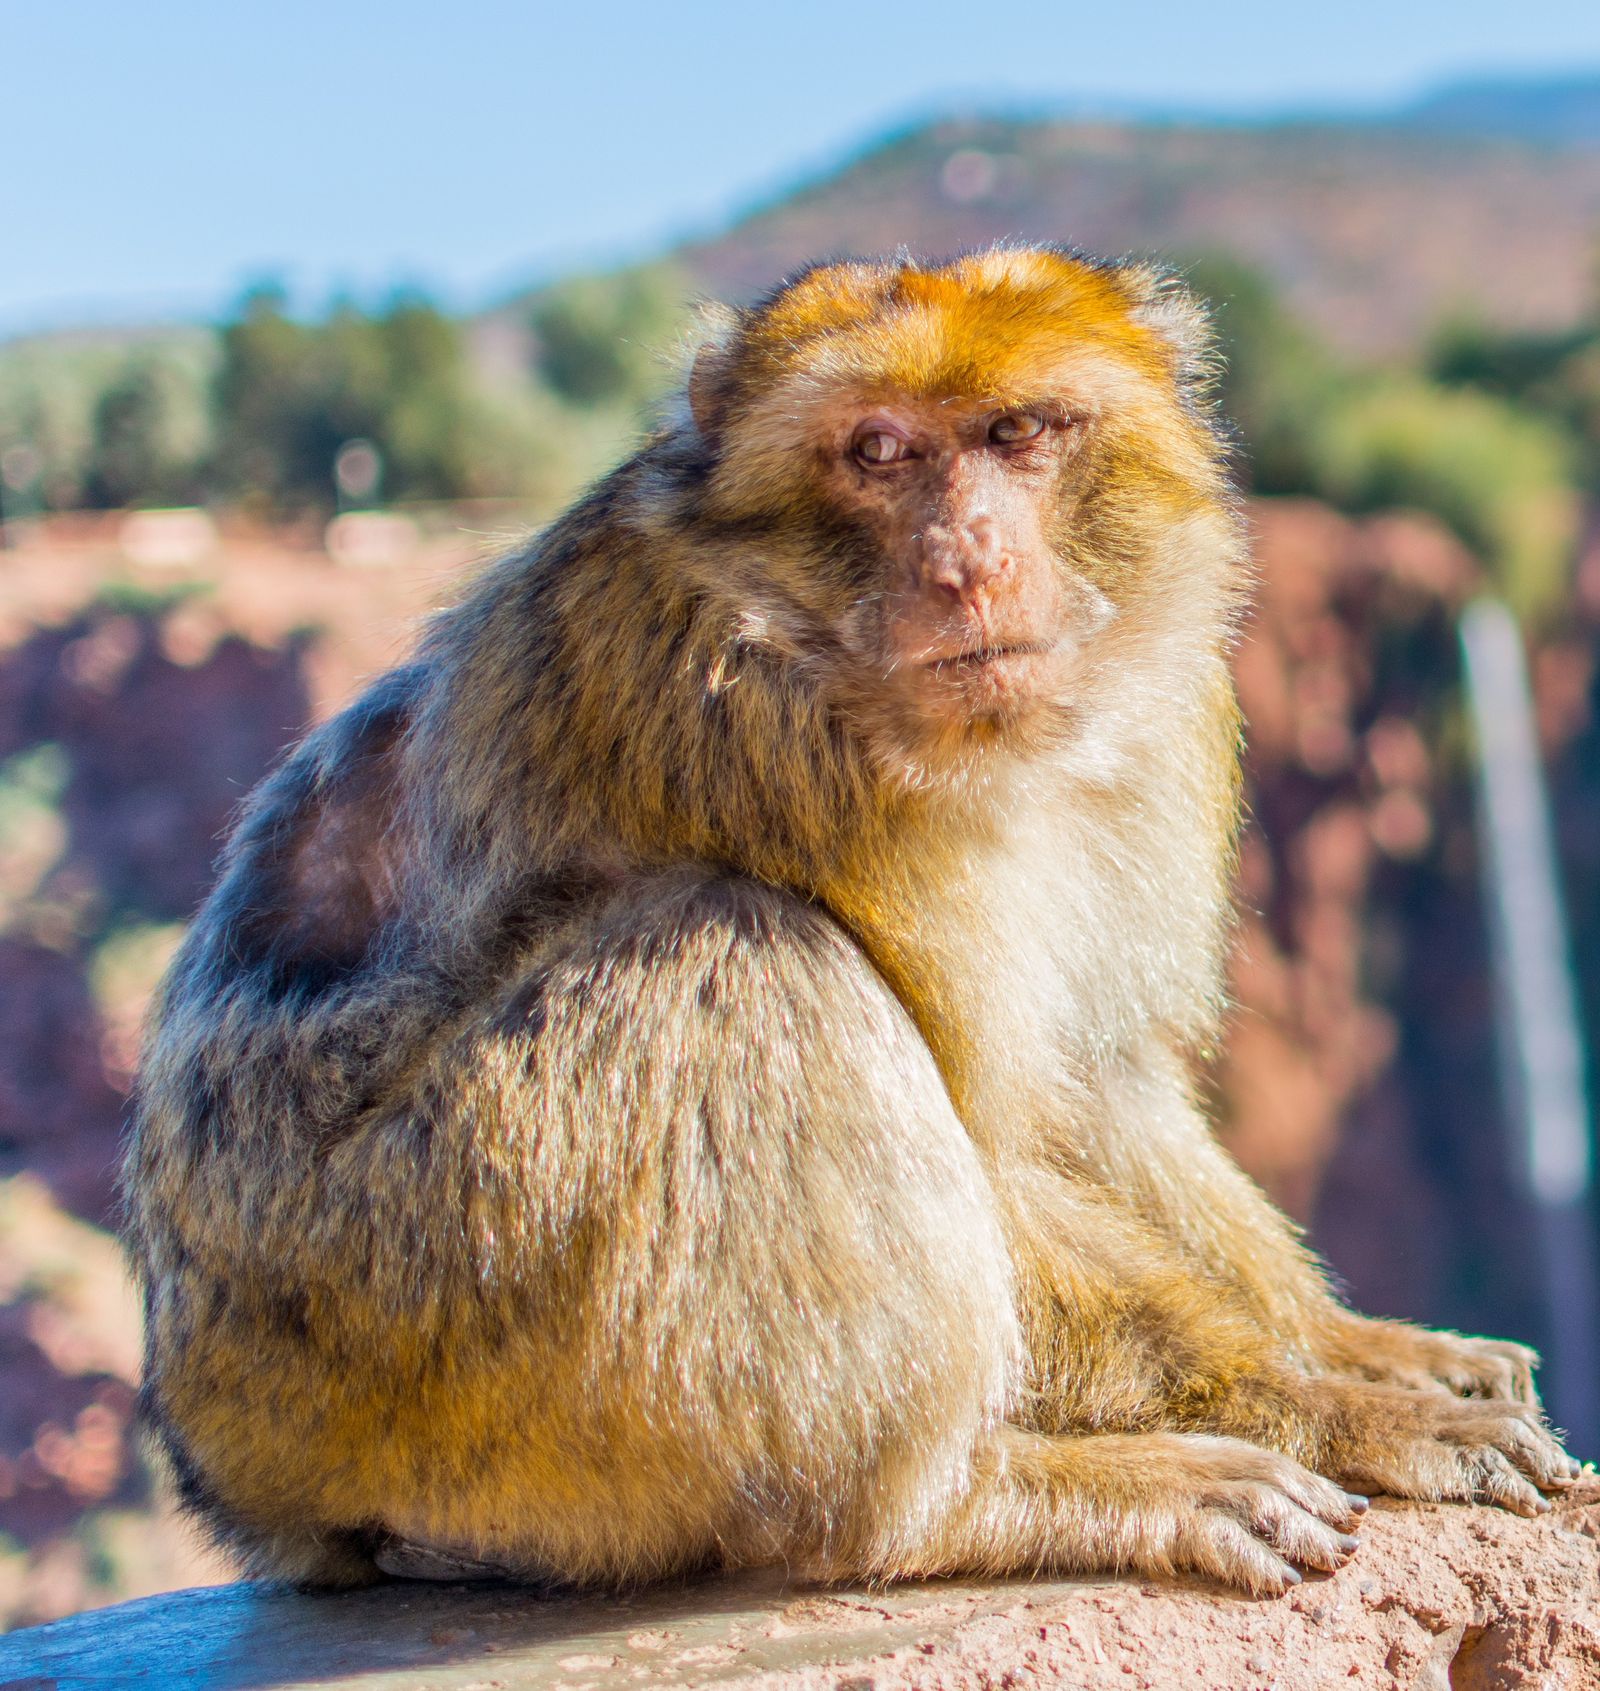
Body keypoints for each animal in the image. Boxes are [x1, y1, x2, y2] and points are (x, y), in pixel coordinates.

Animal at [122, 247, 1576, 1600]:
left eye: (1019, 432)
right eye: (878, 450)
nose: (967, 559)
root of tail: (224, 1465)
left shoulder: (1163, 713)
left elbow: (1098, 1085)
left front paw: (1363, 1348)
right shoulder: (728, 718)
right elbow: (987, 1129)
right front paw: (1323, 1404)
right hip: (390, 1320)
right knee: (739, 950)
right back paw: (952, 1506)